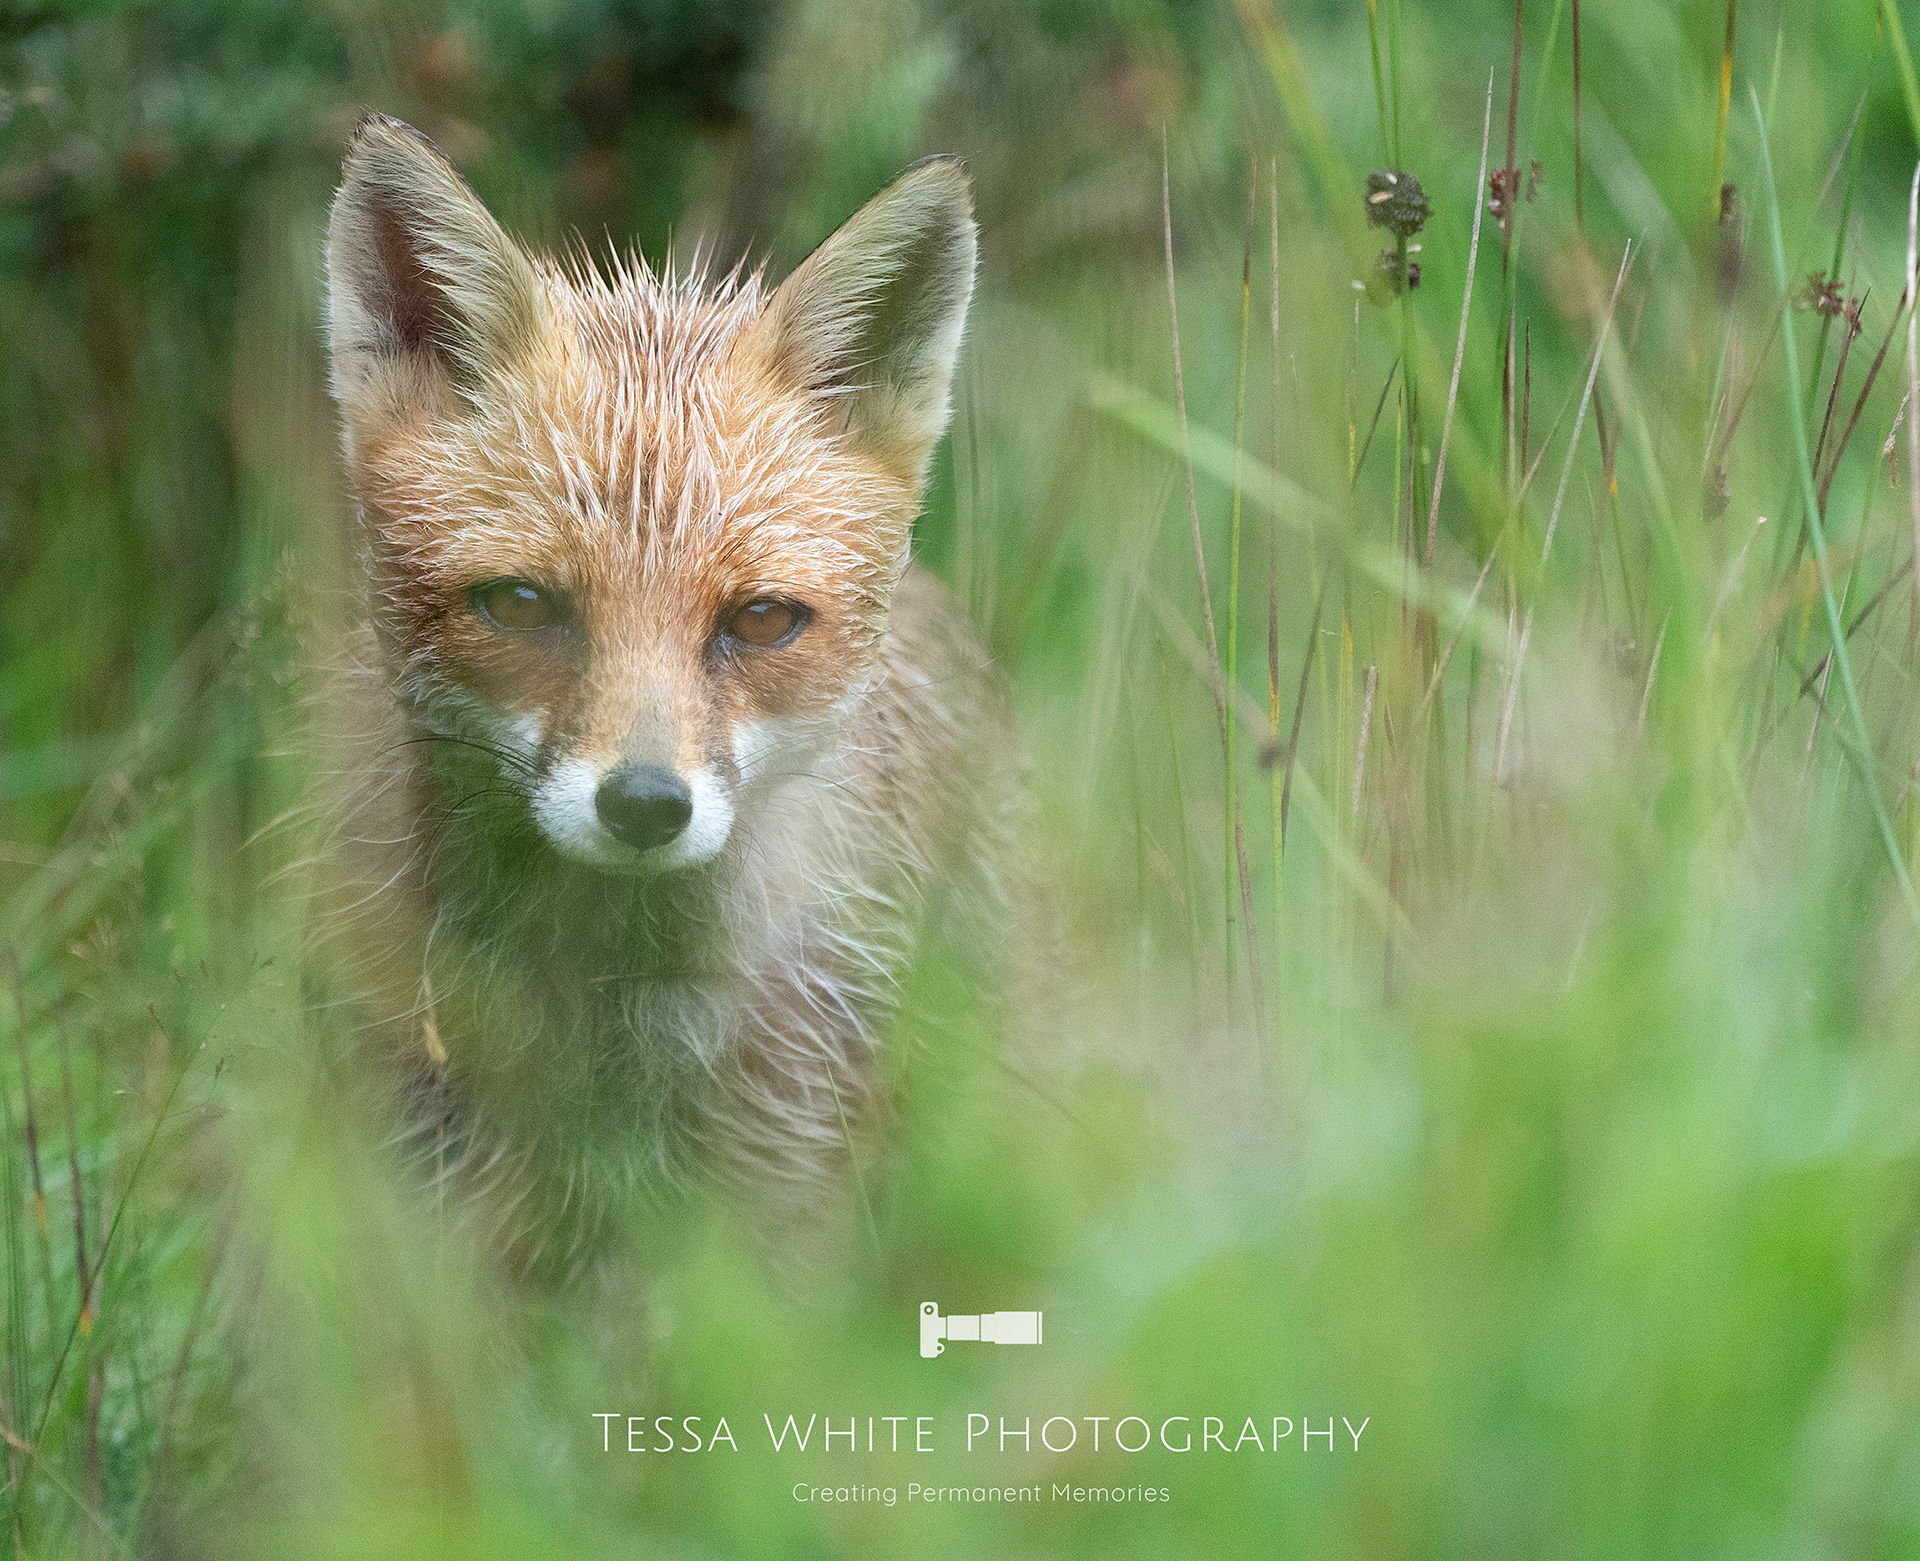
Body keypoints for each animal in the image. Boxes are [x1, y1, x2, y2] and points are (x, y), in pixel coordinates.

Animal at [318, 115, 1020, 1277]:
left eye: (762, 620)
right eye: (521, 604)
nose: (645, 804)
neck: (616, 1022)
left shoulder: (781, 1188)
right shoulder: (441, 1186)